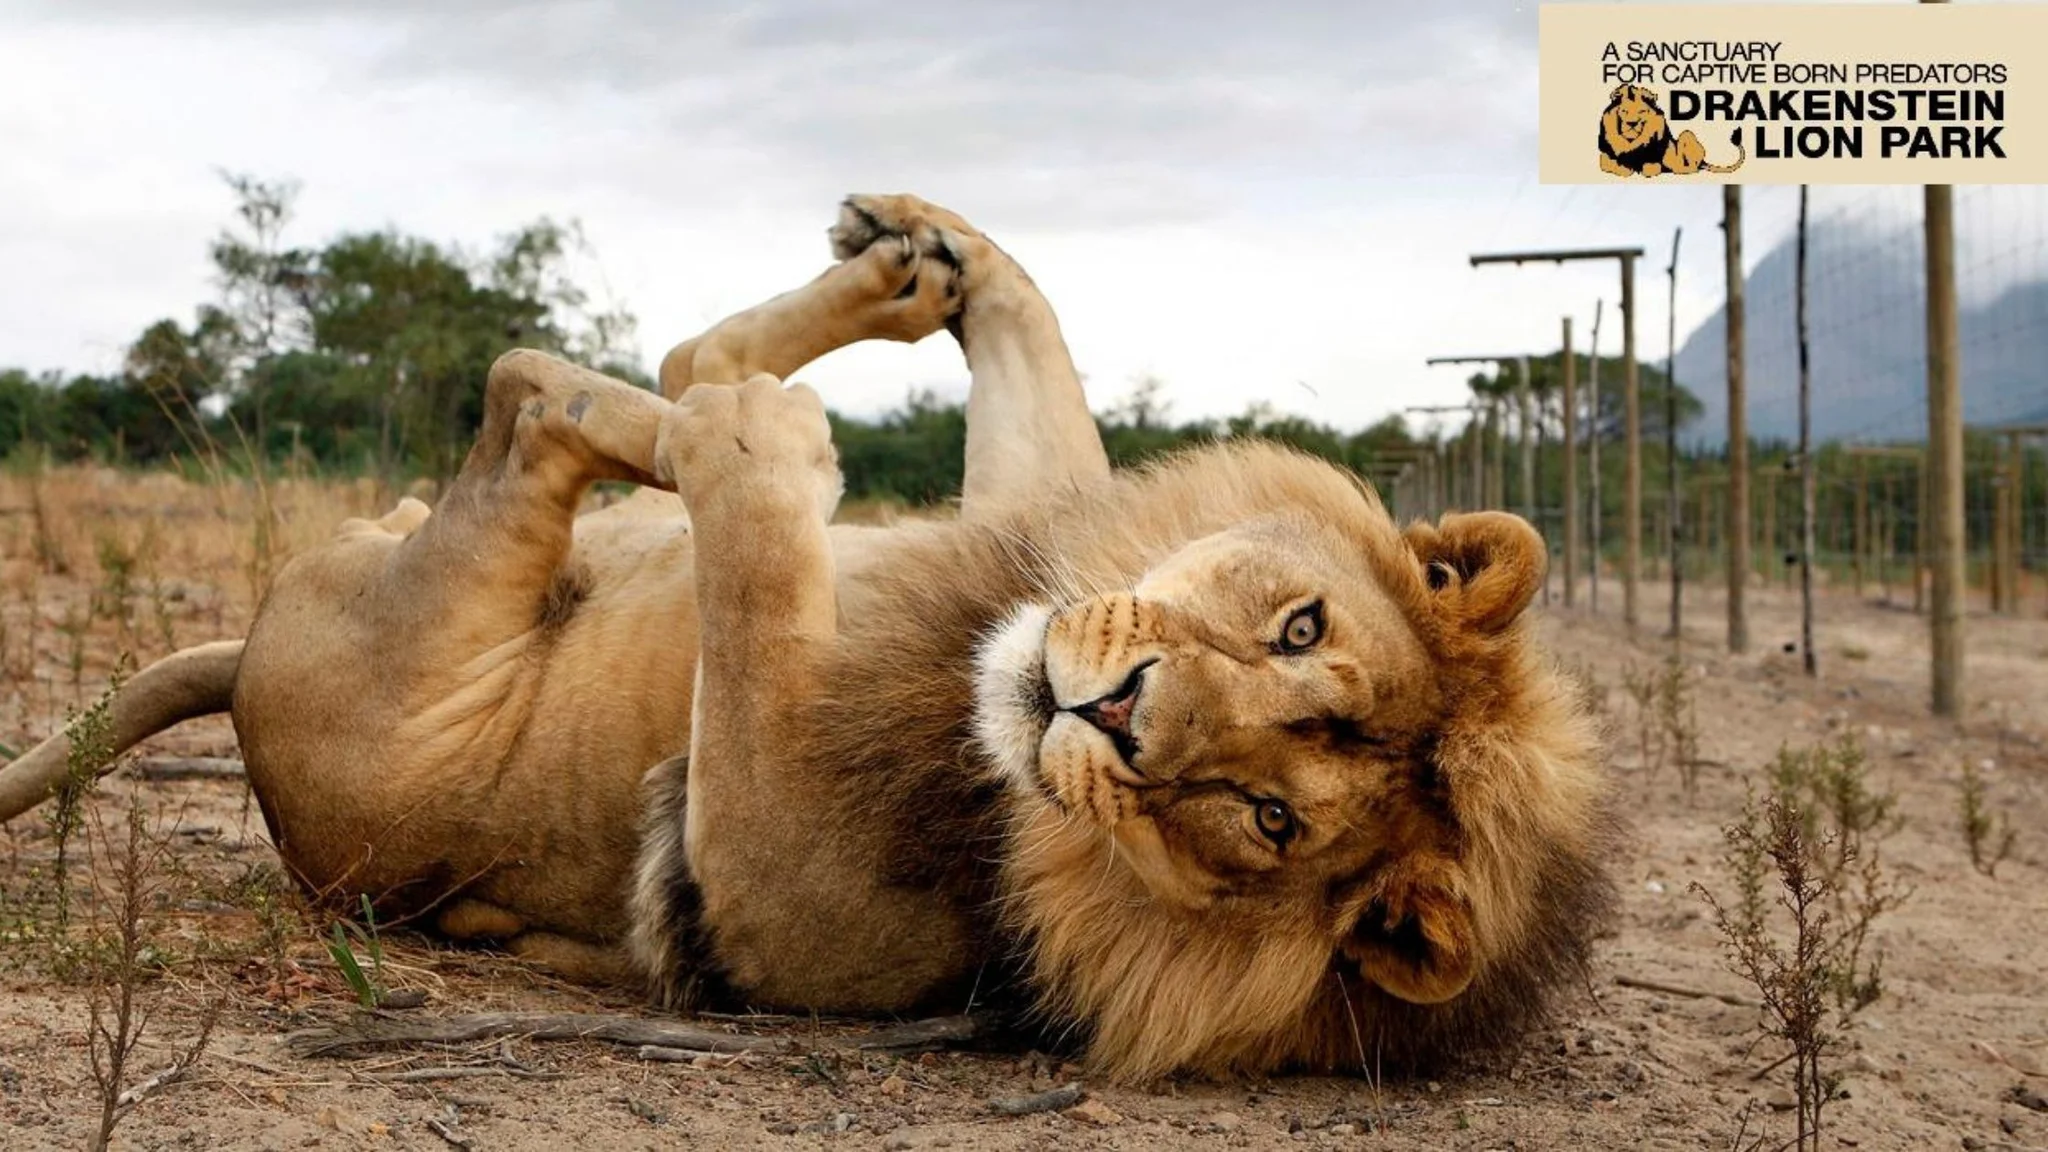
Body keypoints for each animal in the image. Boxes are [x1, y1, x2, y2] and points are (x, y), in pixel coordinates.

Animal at [0, 194, 1615, 1081]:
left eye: (1270, 819)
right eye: (1297, 626)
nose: (1113, 710)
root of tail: (244, 667)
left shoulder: (763, 879)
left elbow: (757, 566)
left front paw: (760, 441)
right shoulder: (1025, 530)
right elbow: (1036, 382)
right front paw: (940, 256)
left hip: (434, 629)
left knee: (535, 395)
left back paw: (708, 404)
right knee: (622, 376)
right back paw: (884, 282)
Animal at [1599, 83, 1745, 177]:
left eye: (1642, 111)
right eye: (1624, 111)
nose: (1632, 123)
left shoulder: (1654, 161)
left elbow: (1649, 167)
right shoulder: (1606, 157)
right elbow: (1611, 164)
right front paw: (1625, 168)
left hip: (1687, 135)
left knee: (1691, 168)